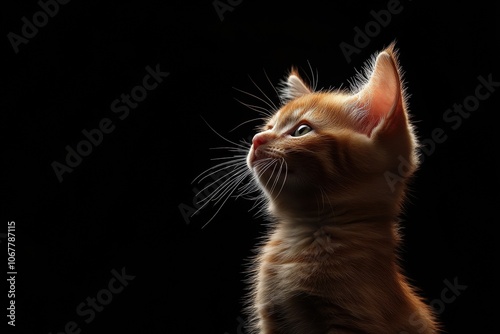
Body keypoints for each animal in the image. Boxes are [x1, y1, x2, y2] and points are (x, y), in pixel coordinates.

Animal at [240, 45, 440, 334]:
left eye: (301, 130)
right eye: (269, 127)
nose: (257, 139)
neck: (305, 233)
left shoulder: (350, 320)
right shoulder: (272, 321)